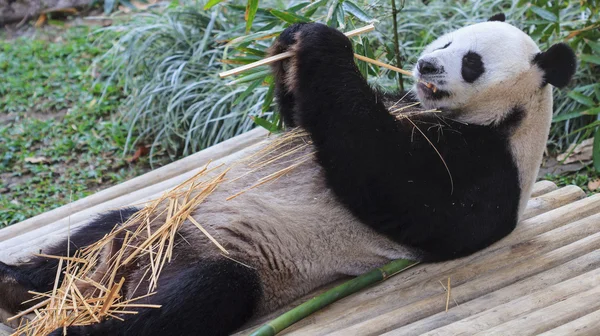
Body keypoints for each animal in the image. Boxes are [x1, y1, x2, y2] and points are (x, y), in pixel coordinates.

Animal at [0, 15, 576, 336]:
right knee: (105, 231)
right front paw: (292, 39)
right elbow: (307, 123)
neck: (505, 115)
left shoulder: (491, 170)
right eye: (448, 40)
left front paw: (325, 43)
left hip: (235, 266)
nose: (427, 66)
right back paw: (18, 285)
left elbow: (399, 188)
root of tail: (115, 282)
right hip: (159, 227)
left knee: (197, 296)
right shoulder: (405, 102)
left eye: (472, 61)